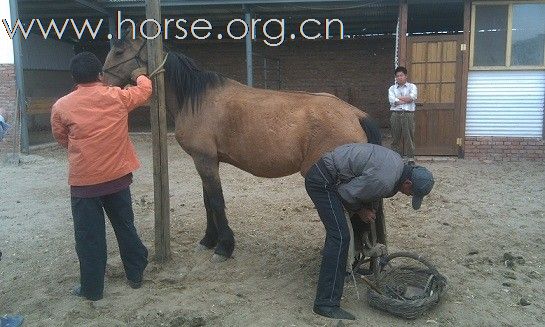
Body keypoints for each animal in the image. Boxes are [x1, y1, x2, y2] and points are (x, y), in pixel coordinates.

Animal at [103, 32, 382, 262]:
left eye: (119, 51)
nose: (103, 83)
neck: (196, 98)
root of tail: (355, 114)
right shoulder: (207, 160)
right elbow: (207, 201)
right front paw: (208, 239)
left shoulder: (204, 160)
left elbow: (216, 202)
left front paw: (224, 246)